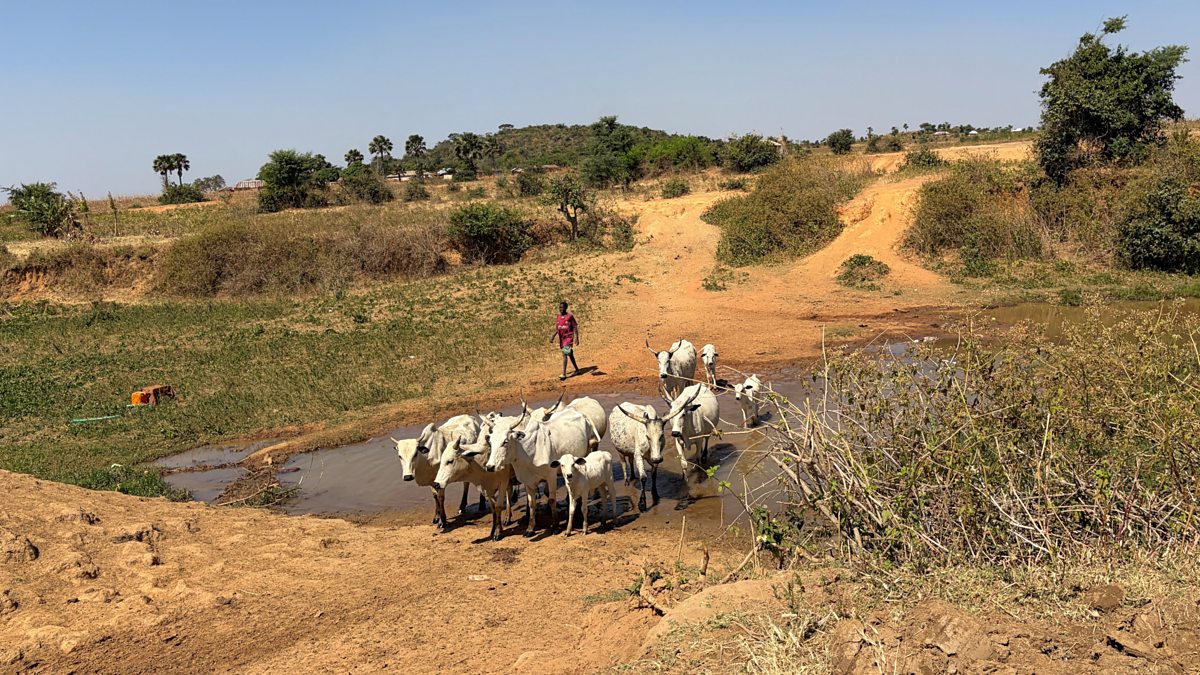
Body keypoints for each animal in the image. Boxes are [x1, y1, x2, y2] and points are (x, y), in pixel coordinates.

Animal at [484, 408, 598, 536]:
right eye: (490, 442)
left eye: (505, 441)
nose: (490, 466)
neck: (528, 452)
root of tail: (582, 415)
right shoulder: (528, 480)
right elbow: (531, 503)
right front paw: (530, 528)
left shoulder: (551, 476)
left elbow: (552, 500)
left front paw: (555, 526)